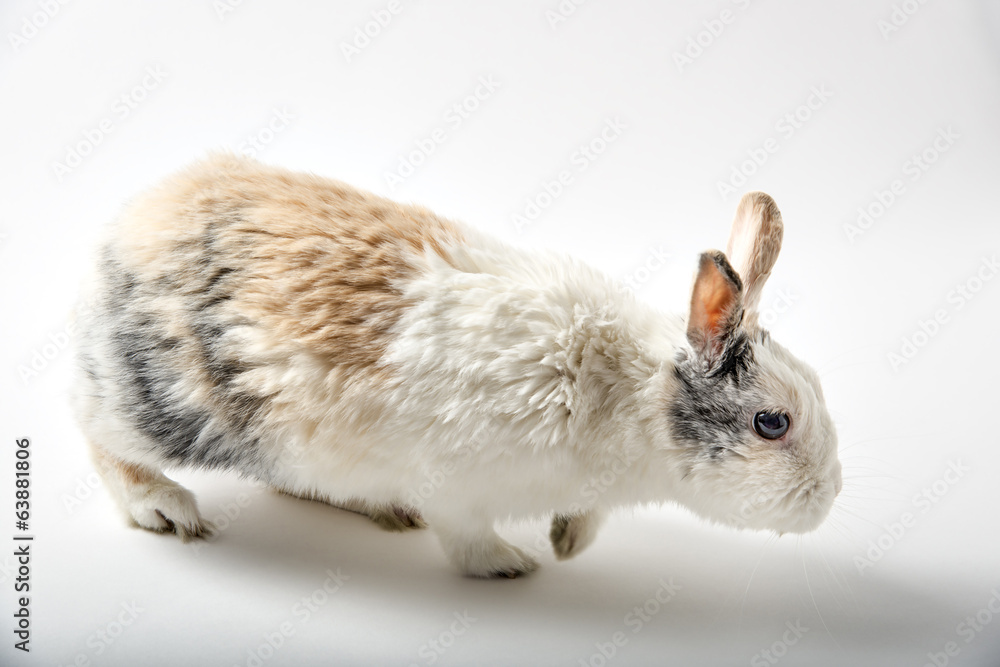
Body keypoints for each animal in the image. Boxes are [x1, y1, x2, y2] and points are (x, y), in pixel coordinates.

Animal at [73, 153, 842, 578]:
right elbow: (465, 538)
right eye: (773, 423)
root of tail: (134, 222)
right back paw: (164, 508)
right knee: (98, 436)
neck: (626, 395)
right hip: (163, 402)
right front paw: (513, 566)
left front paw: (567, 544)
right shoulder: (456, 483)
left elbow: (586, 516)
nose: (830, 496)